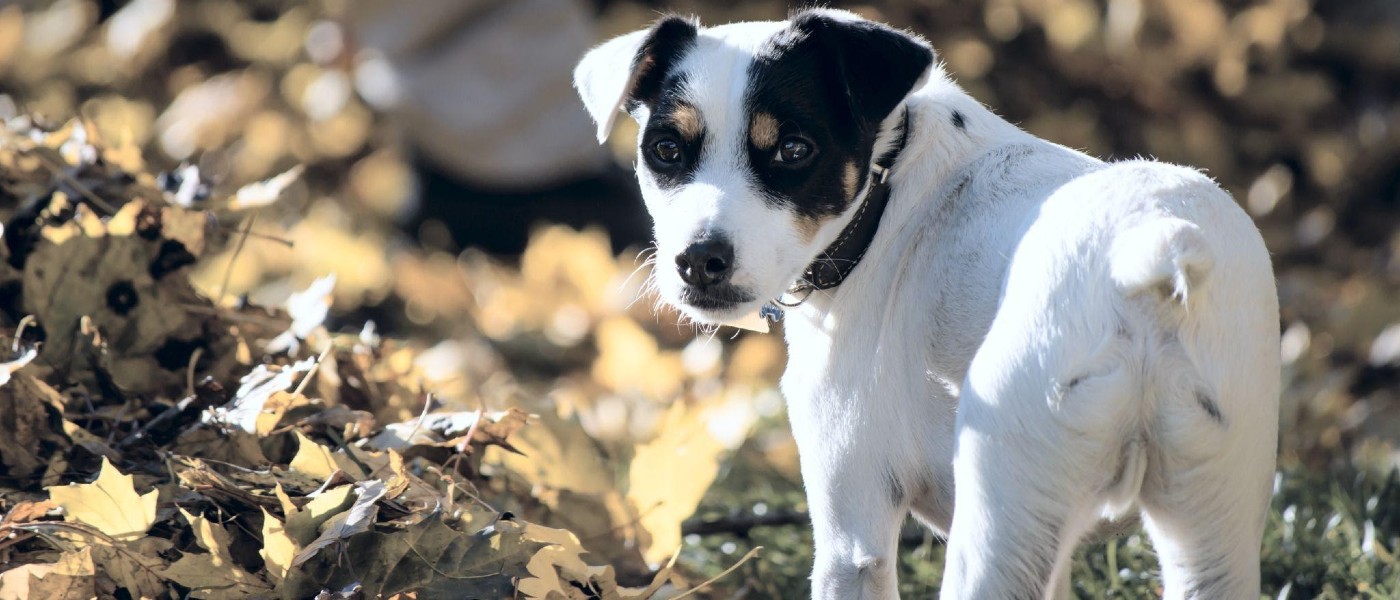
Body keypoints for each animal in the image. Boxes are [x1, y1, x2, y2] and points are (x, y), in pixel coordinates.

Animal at [571, 10, 1282, 598]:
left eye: (795, 150)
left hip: (995, 520)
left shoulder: (852, 528)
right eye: (666, 150)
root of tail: (1148, 252)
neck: (885, 199)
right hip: (1208, 528)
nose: (699, 261)